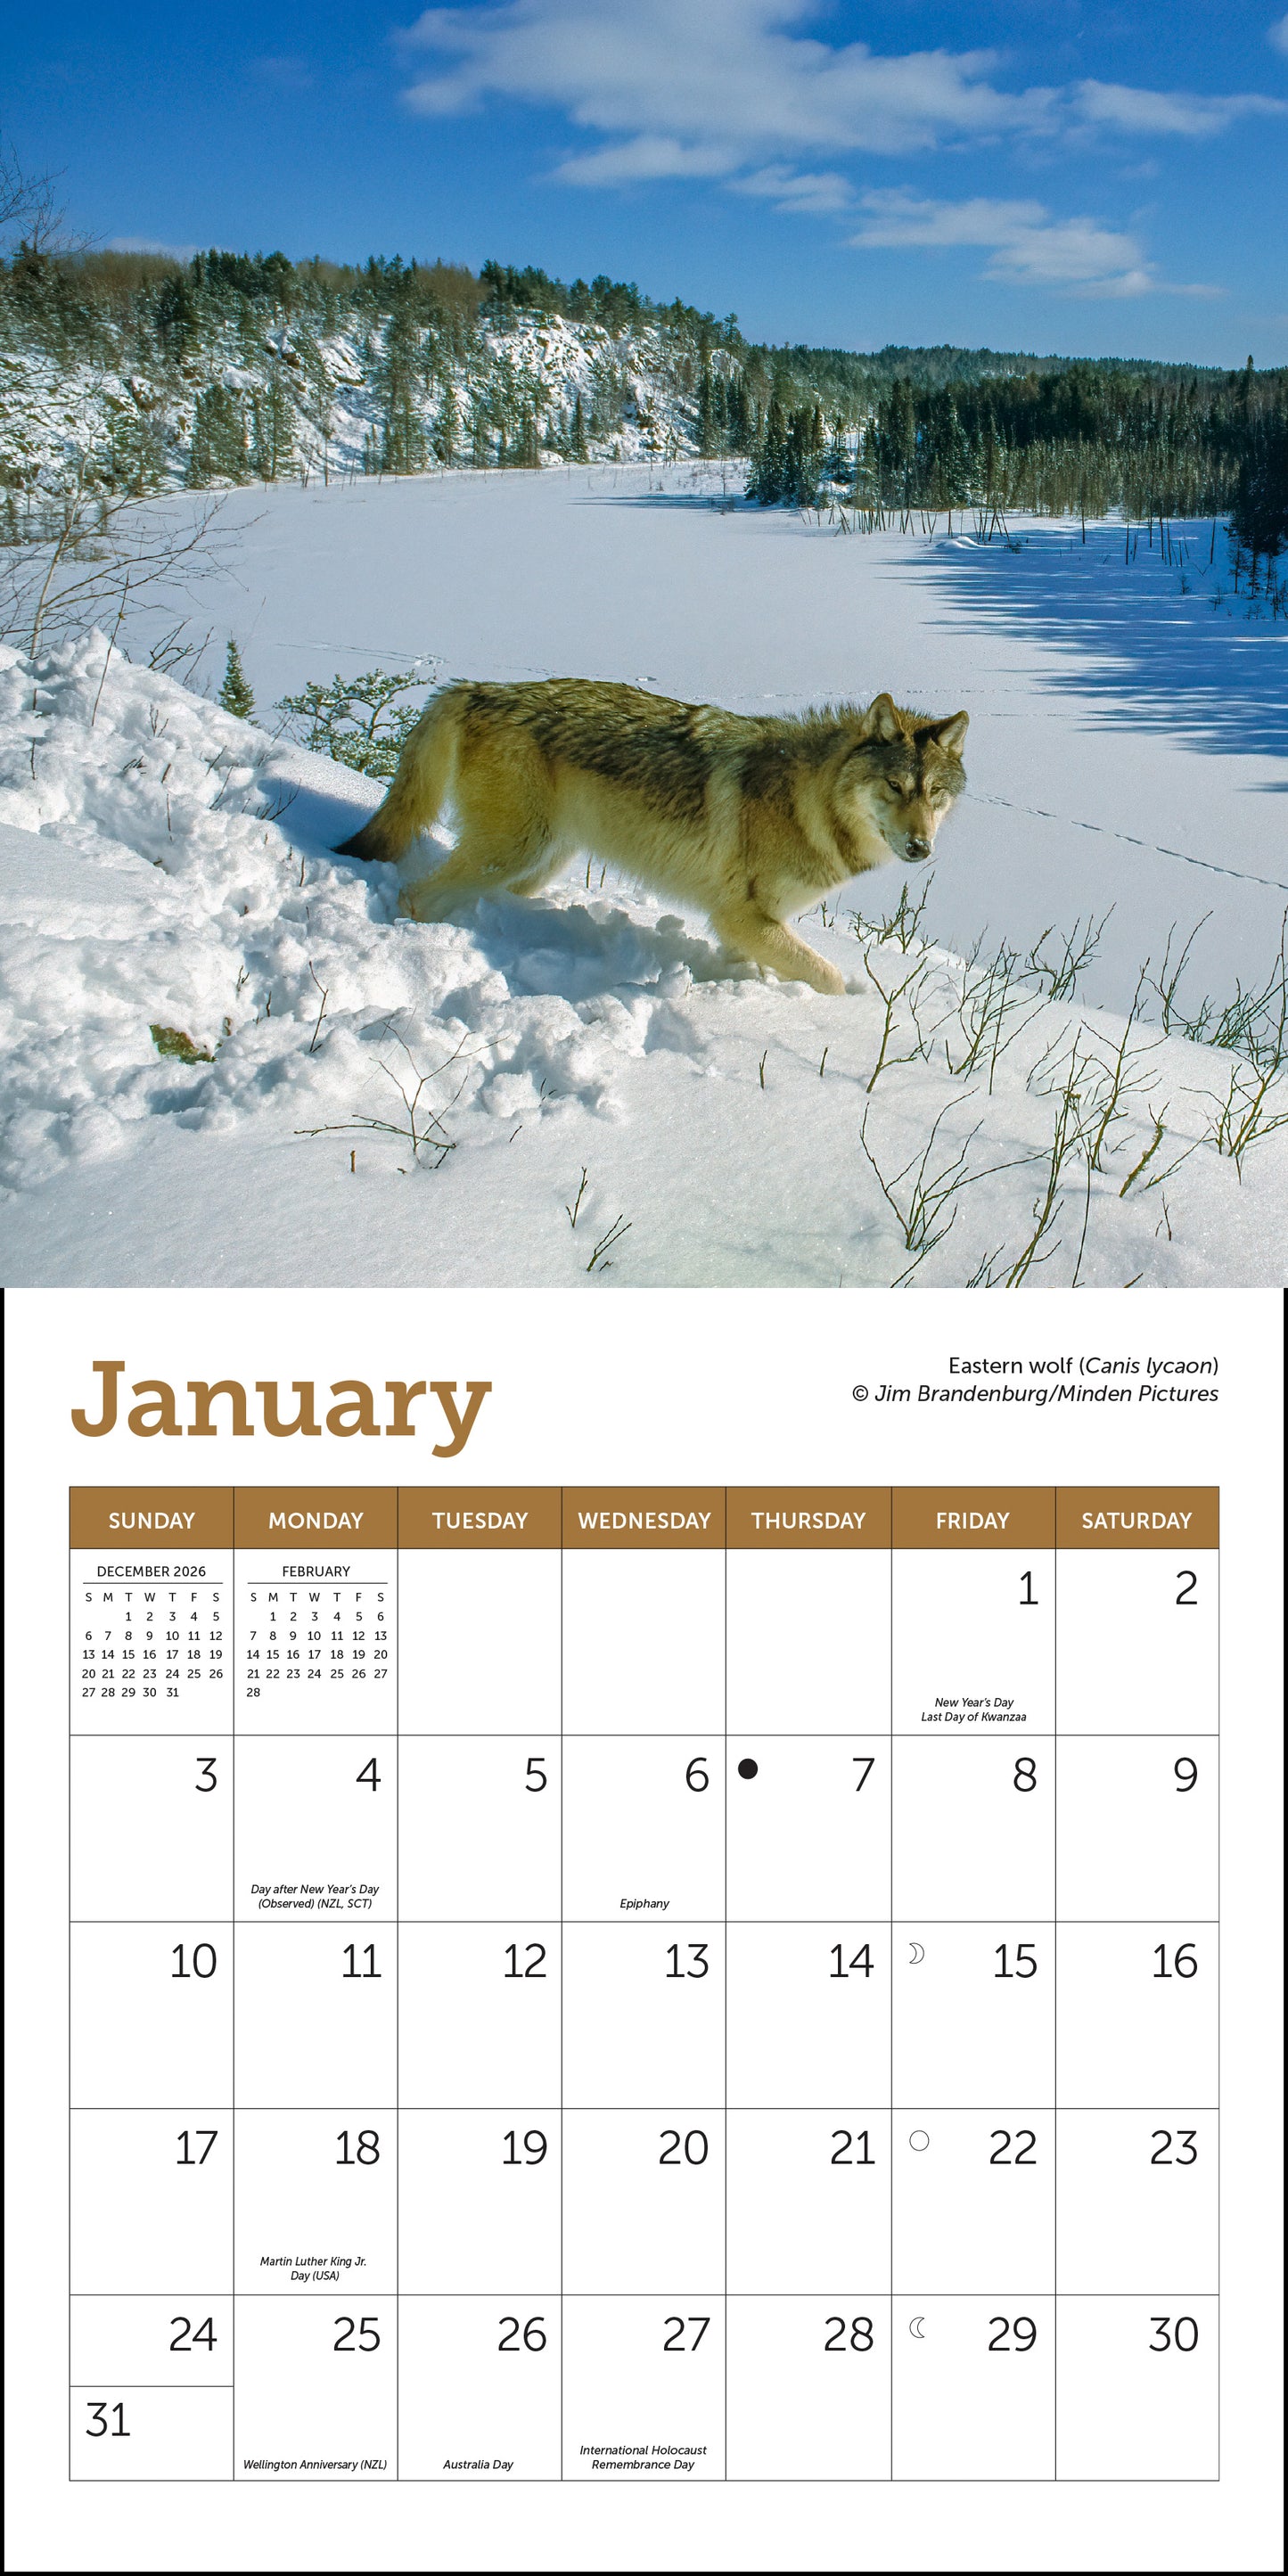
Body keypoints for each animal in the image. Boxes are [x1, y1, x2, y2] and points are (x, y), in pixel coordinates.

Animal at [336, 678, 968, 997]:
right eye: (894, 786)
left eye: (935, 793)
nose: (919, 849)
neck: (806, 800)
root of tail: (473, 687)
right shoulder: (741, 916)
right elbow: (830, 979)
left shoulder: (752, 927)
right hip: (513, 851)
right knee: (416, 896)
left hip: (540, 862)